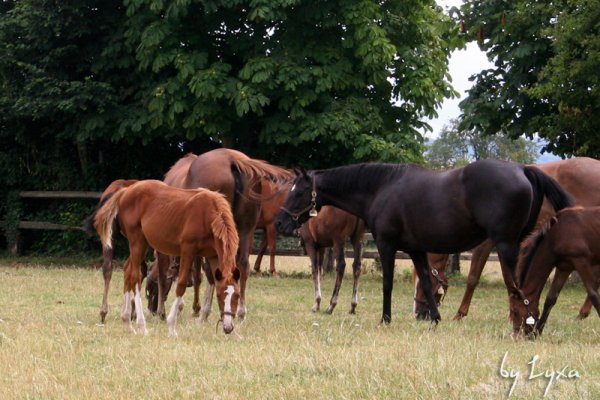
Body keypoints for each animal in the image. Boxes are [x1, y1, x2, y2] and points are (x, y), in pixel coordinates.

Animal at [95, 180, 240, 336]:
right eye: (219, 295)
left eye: (237, 296)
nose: (227, 328)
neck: (208, 214)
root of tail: (125, 191)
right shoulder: (188, 250)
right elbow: (181, 284)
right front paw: (171, 327)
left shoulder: (213, 255)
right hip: (136, 241)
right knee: (135, 276)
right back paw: (142, 325)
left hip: (143, 244)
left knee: (128, 270)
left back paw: (127, 321)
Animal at [274, 159, 576, 324]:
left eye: (299, 192)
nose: (279, 222)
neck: (381, 188)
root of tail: (523, 169)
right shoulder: (416, 250)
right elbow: (428, 284)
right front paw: (435, 319)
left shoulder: (387, 245)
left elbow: (387, 283)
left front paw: (385, 319)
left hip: (506, 245)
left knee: (515, 285)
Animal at [508, 208, 600, 340]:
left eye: (515, 310)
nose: (516, 336)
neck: (557, 235)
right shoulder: (564, 268)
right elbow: (550, 299)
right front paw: (537, 332)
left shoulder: (581, 261)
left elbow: (594, 295)